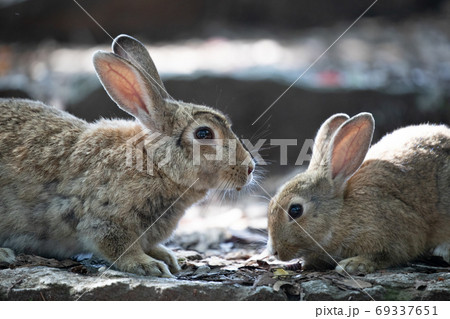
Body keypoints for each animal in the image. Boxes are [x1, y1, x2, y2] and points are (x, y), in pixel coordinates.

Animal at [0, 33, 255, 276]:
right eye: (204, 133)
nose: (249, 168)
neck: (155, 165)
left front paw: (168, 258)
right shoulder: (105, 219)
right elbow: (119, 247)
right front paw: (150, 266)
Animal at [268, 113, 450, 276]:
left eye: (295, 210)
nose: (274, 252)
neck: (341, 215)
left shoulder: (399, 233)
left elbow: (386, 255)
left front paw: (353, 264)